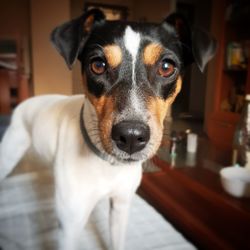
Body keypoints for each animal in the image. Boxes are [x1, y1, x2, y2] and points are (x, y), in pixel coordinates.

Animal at [0, 8, 215, 249]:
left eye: (167, 67)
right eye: (98, 65)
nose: (131, 137)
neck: (107, 164)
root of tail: (26, 102)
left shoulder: (121, 206)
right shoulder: (70, 225)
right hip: (8, 154)